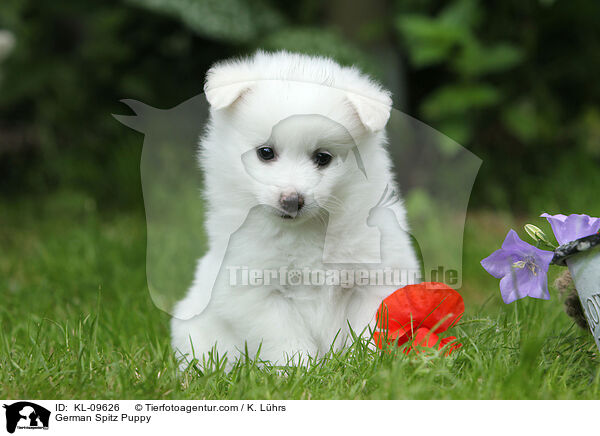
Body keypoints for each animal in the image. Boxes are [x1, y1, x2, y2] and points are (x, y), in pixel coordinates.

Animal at [171, 51, 420, 368]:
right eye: (265, 153)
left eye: (323, 158)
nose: (292, 200)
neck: (307, 230)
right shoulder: (256, 289)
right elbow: (285, 337)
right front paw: (299, 370)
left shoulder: (376, 278)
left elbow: (368, 329)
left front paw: (366, 366)